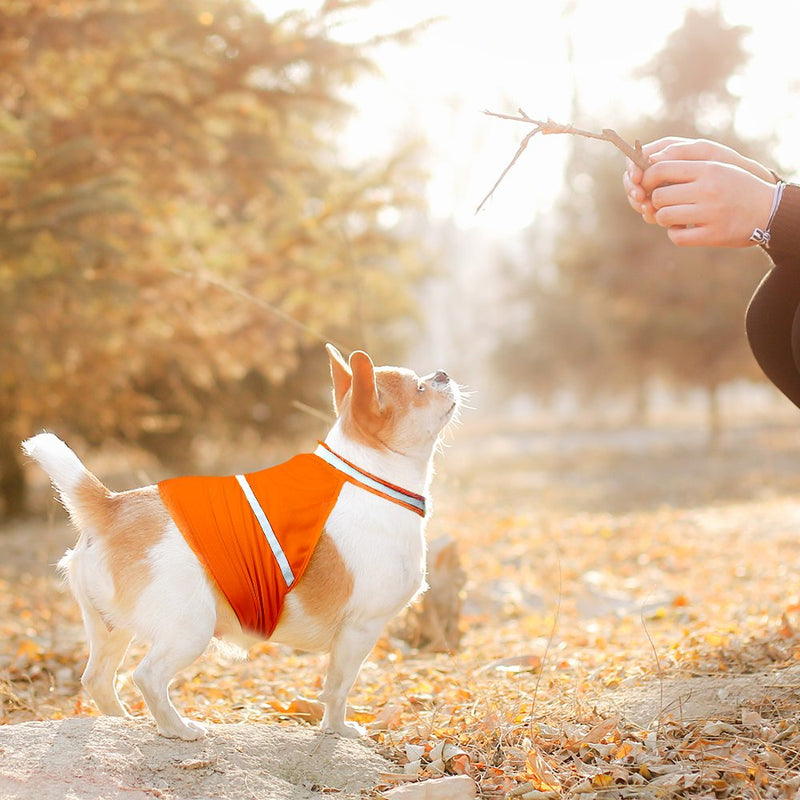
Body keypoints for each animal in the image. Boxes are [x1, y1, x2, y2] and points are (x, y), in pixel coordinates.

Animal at [21, 344, 460, 736]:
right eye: (420, 389)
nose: (443, 372)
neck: (370, 477)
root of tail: (111, 506)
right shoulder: (359, 632)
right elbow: (338, 689)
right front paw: (338, 731)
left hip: (111, 630)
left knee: (97, 678)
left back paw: (124, 722)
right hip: (190, 628)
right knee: (147, 677)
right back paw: (178, 730)